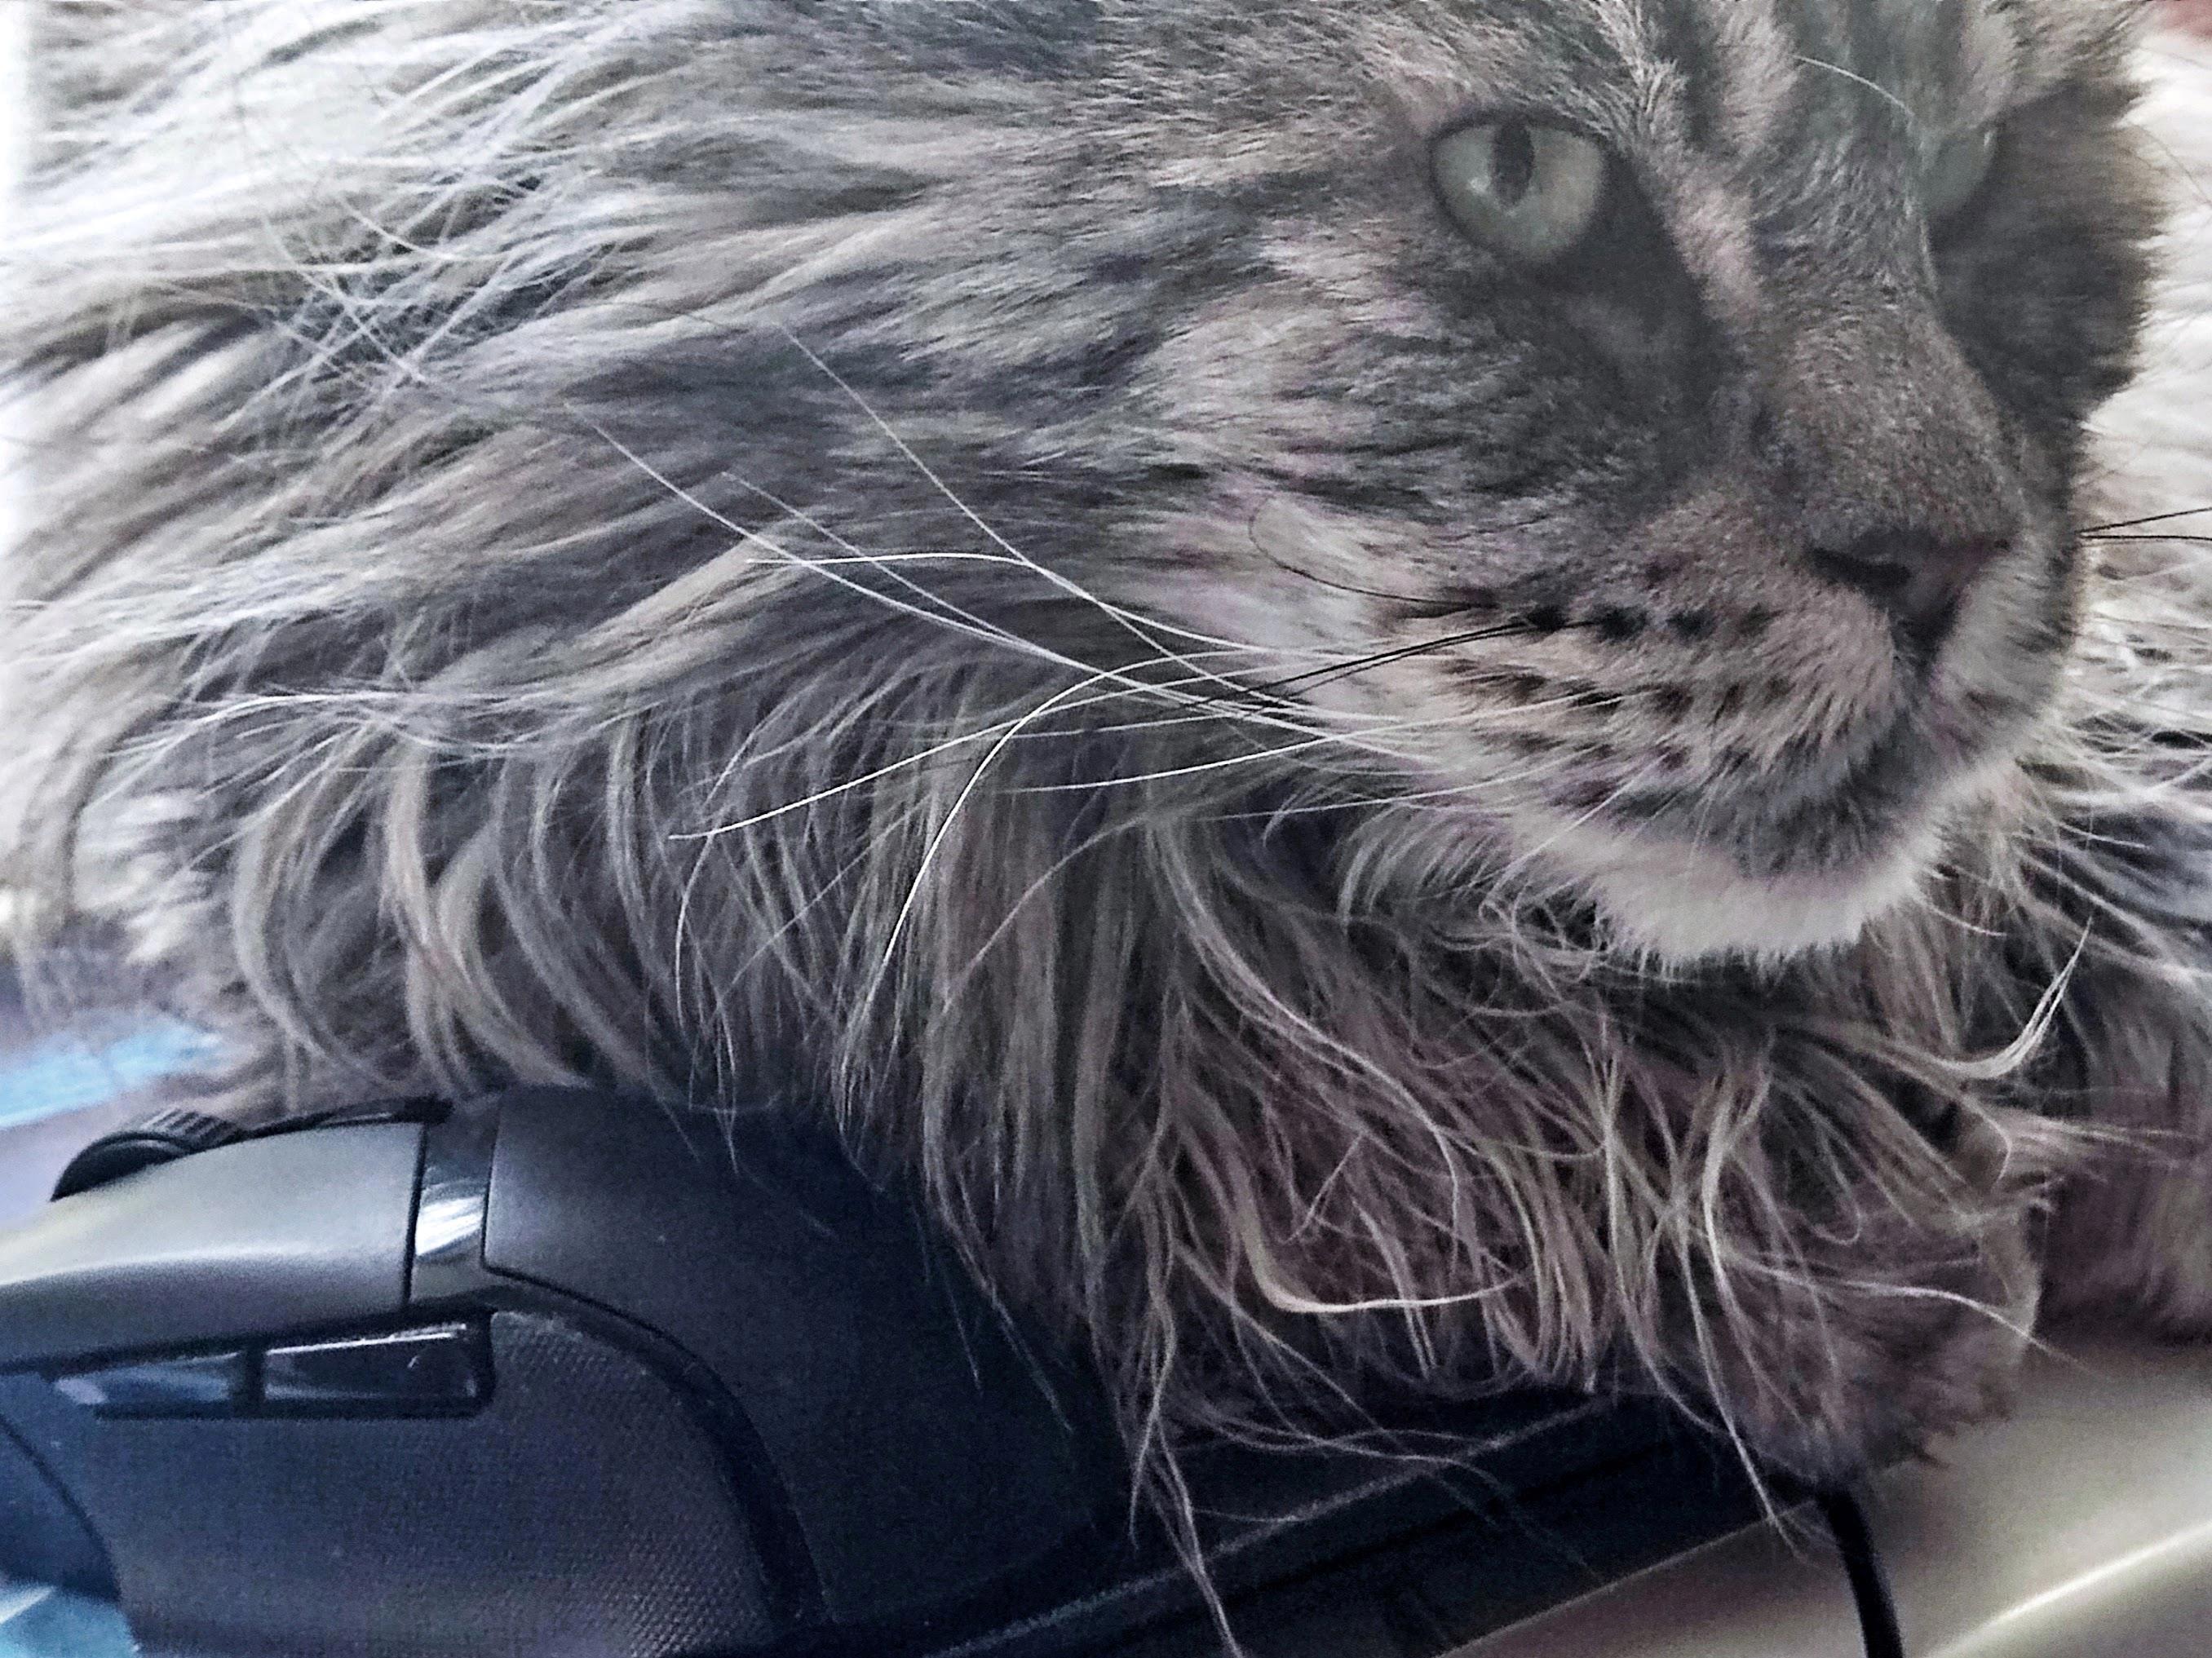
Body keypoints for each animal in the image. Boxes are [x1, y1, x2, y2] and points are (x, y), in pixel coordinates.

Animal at [5, 0, 2211, 1506]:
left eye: (1977, 168)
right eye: (1520, 181)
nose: (1944, 560)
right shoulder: (435, 756)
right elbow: (1138, 982)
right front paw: (1824, 1218)